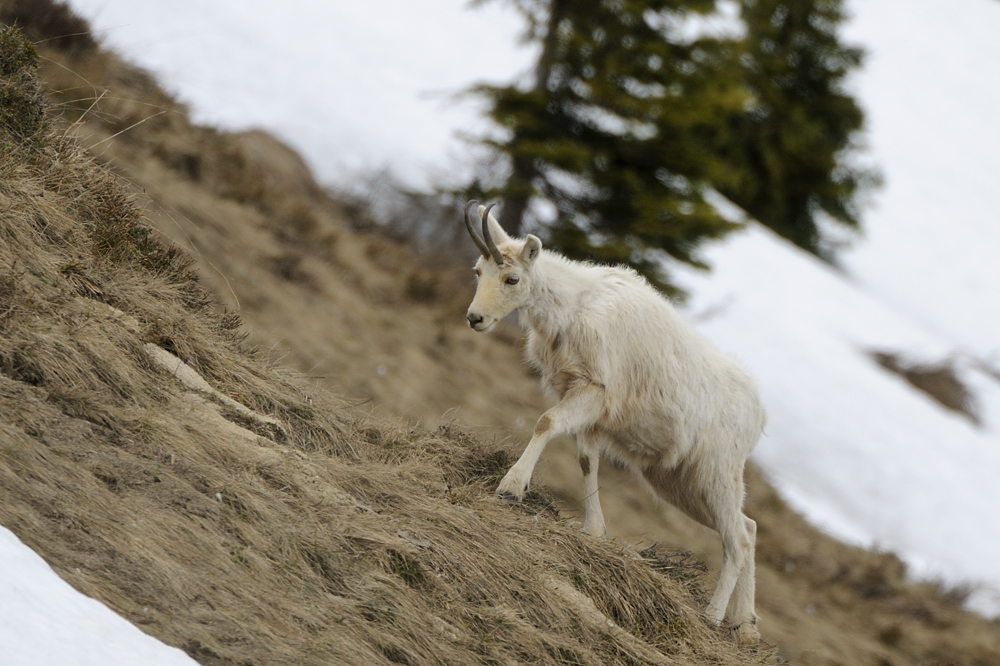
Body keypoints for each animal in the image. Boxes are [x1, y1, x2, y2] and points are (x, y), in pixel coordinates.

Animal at [462, 200, 764, 640]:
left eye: (512, 278)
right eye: (477, 271)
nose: (475, 318)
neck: (573, 308)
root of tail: (759, 414)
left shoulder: (592, 391)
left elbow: (546, 423)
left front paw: (510, 489)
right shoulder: (589, 412)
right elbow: (587, 460)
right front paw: (593, 531)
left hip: (715, 475)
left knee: (738, 539)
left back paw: (712, 616)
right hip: (678, 481)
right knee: (749, 526)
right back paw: (745, 626)